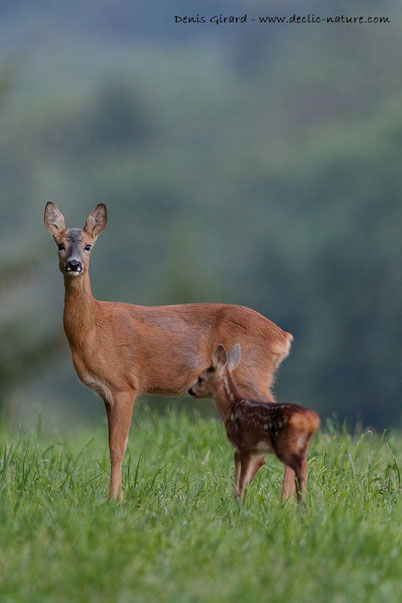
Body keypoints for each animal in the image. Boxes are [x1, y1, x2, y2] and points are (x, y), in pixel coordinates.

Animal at [44, 203, 294, 500]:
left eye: (88, 246)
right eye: (60, 245)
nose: (74, 264)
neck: (93, 328)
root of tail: (282, 337)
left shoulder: (124, 385)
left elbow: (117, 448)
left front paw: (114, 499)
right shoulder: (106, 393)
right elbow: (111, 445)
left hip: (250, 373)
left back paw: (281, 500)